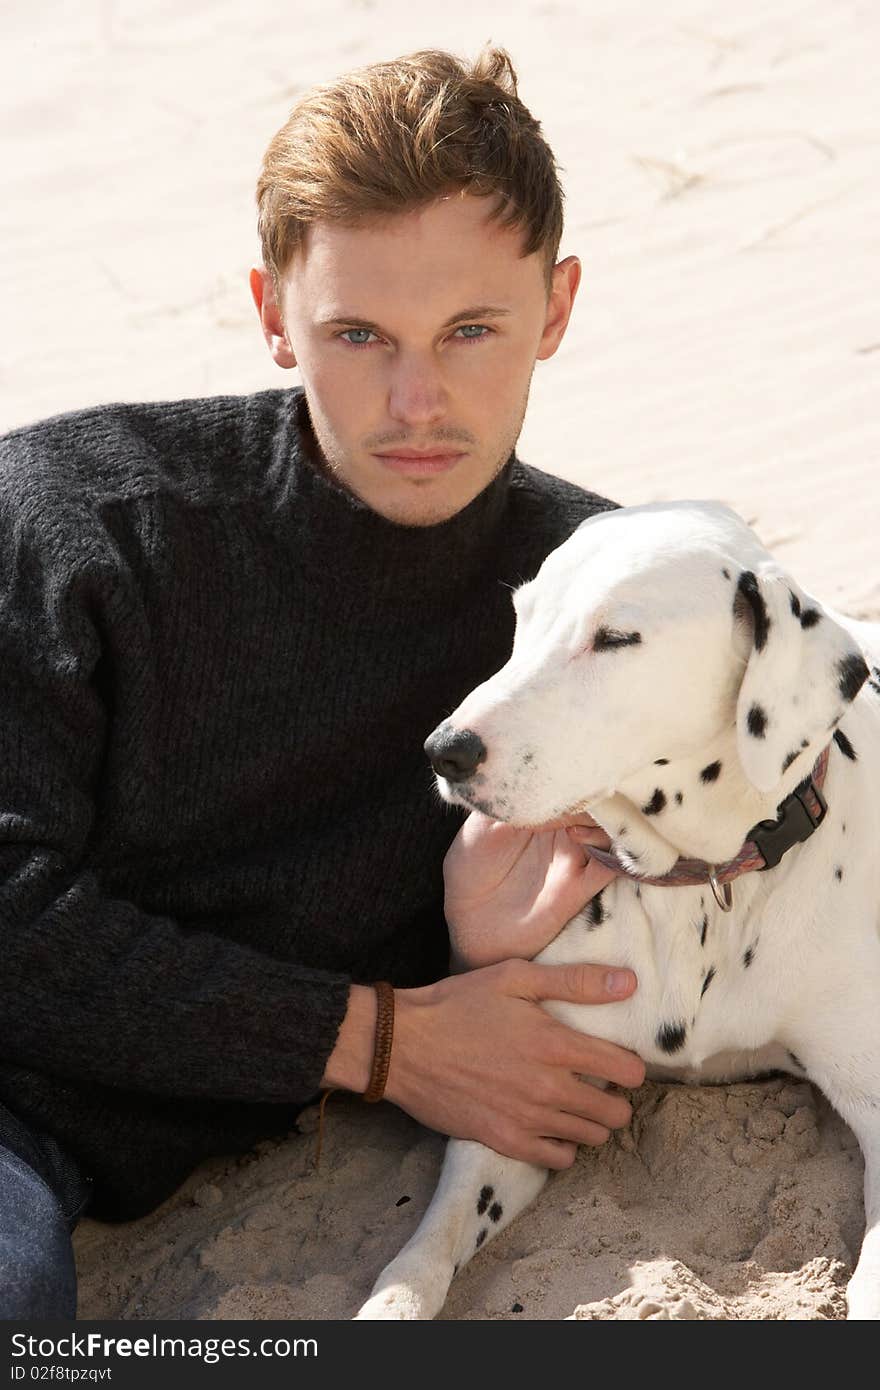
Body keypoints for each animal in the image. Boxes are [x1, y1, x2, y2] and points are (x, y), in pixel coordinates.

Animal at [355, 503, 878, 1323]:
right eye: (522, 618)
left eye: (616, 637)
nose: (444, 751)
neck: (702, 884)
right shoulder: (516, 1105)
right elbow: (419, 1258)